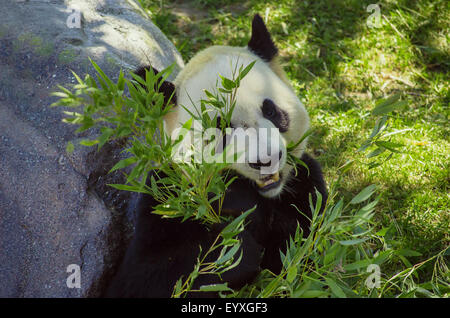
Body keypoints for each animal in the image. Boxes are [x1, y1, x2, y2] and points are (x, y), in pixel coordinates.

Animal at [105, 14, 326, 298]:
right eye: (220, 128)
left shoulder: (303, 189)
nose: (266, 159)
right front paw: (233, 243)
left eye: (271, 110)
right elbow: (146, 278)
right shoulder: (166, 199)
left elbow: (301, 259)